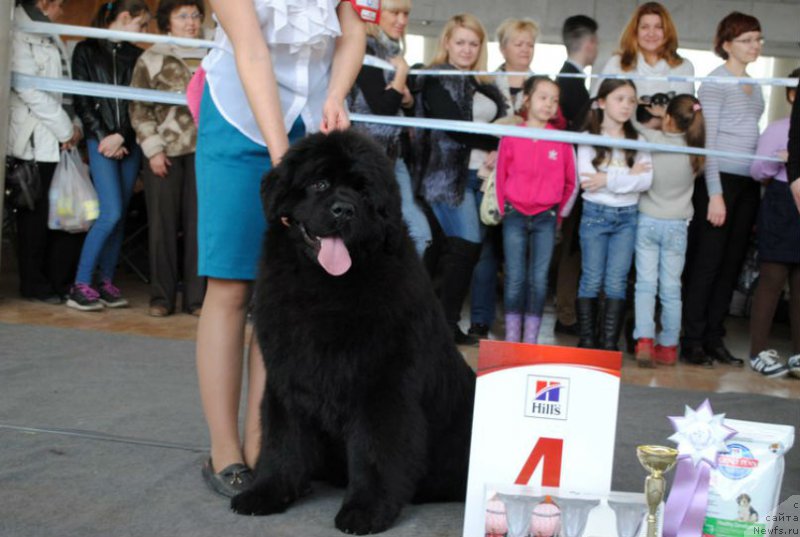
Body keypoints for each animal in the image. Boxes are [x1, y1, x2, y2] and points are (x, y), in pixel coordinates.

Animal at [231, 129, 478, 532]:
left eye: (363, 193)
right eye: (319, 183)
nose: (343, 210)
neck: (324, 290)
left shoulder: (381, 387)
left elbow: (376, 451)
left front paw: (365, 511)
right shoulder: (287, 379)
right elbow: (282, 440)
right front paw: (266, 492)